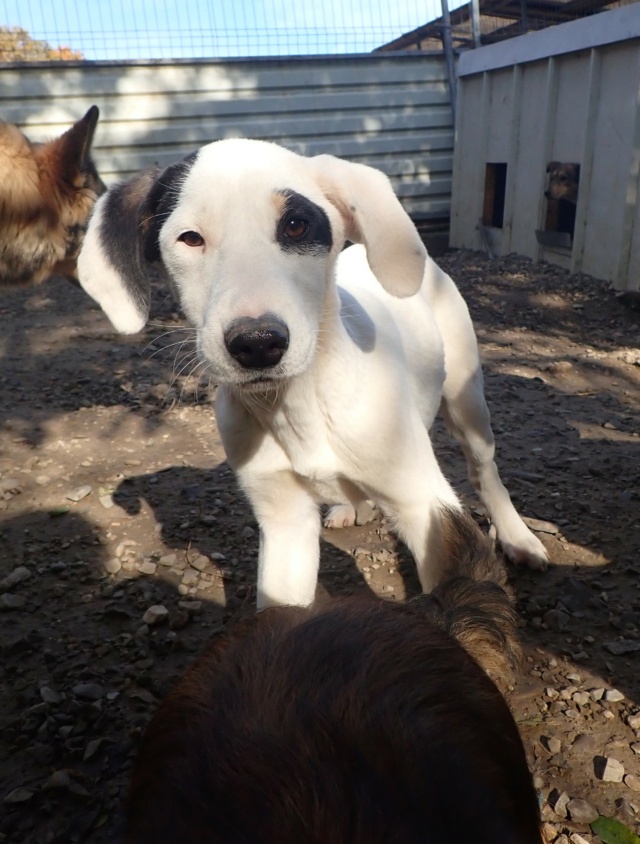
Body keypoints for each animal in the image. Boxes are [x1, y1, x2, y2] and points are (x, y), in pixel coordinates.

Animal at [79, 138, 552, 608]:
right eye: (190, 238)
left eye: (296, 226)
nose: (257, 343)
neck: (301, 404)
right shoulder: (284, 525)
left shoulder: (427, 510)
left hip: (466, 401)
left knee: (485, 471)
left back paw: (518, 537)